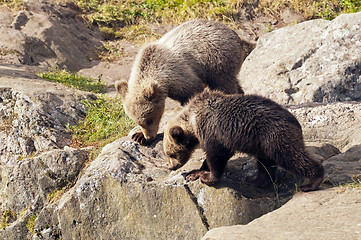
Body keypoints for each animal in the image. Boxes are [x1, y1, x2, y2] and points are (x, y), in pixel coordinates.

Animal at [114, 18, 252, 144]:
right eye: (137, 121)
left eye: (149, 119)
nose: (149, 137)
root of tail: (233, 32)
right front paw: (138, 136)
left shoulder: (179, 76)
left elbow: (191, 95)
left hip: (217, 61)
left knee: (225, 85)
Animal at [163, 89, 324, 192]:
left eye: (170, 154)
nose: (170, 167)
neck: (192, 121)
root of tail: (295, 121)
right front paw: (194, 172)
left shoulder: (212, 130)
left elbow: (217, 155)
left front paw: (206, 177)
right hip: (262, 143)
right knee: (265, 163)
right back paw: (254, 180)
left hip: (274, 135)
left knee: (290, 156)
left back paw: (312, 182)